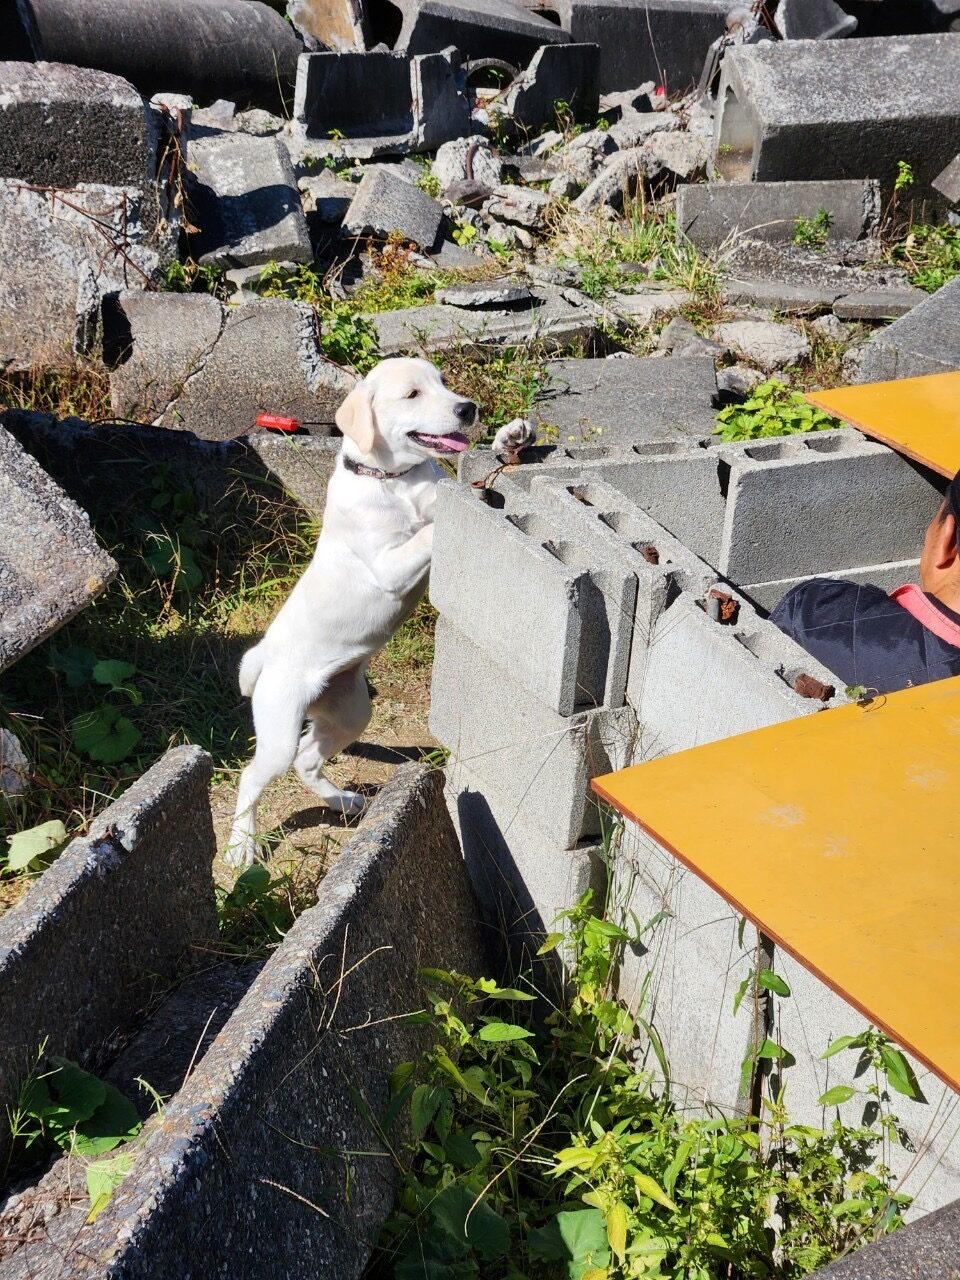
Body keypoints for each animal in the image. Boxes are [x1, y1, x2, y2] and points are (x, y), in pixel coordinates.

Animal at [229, 355, 537, 865]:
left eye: (443, 383)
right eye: (412, 394)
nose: (468, 408)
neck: (395, 482)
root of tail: (263, 655)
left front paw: (510, 437)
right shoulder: (388, 565)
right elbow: (426, 529)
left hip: (349, 711)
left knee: (307, 758)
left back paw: (345, 802)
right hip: (279, 723)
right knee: (253, 775)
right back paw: (241, 846)